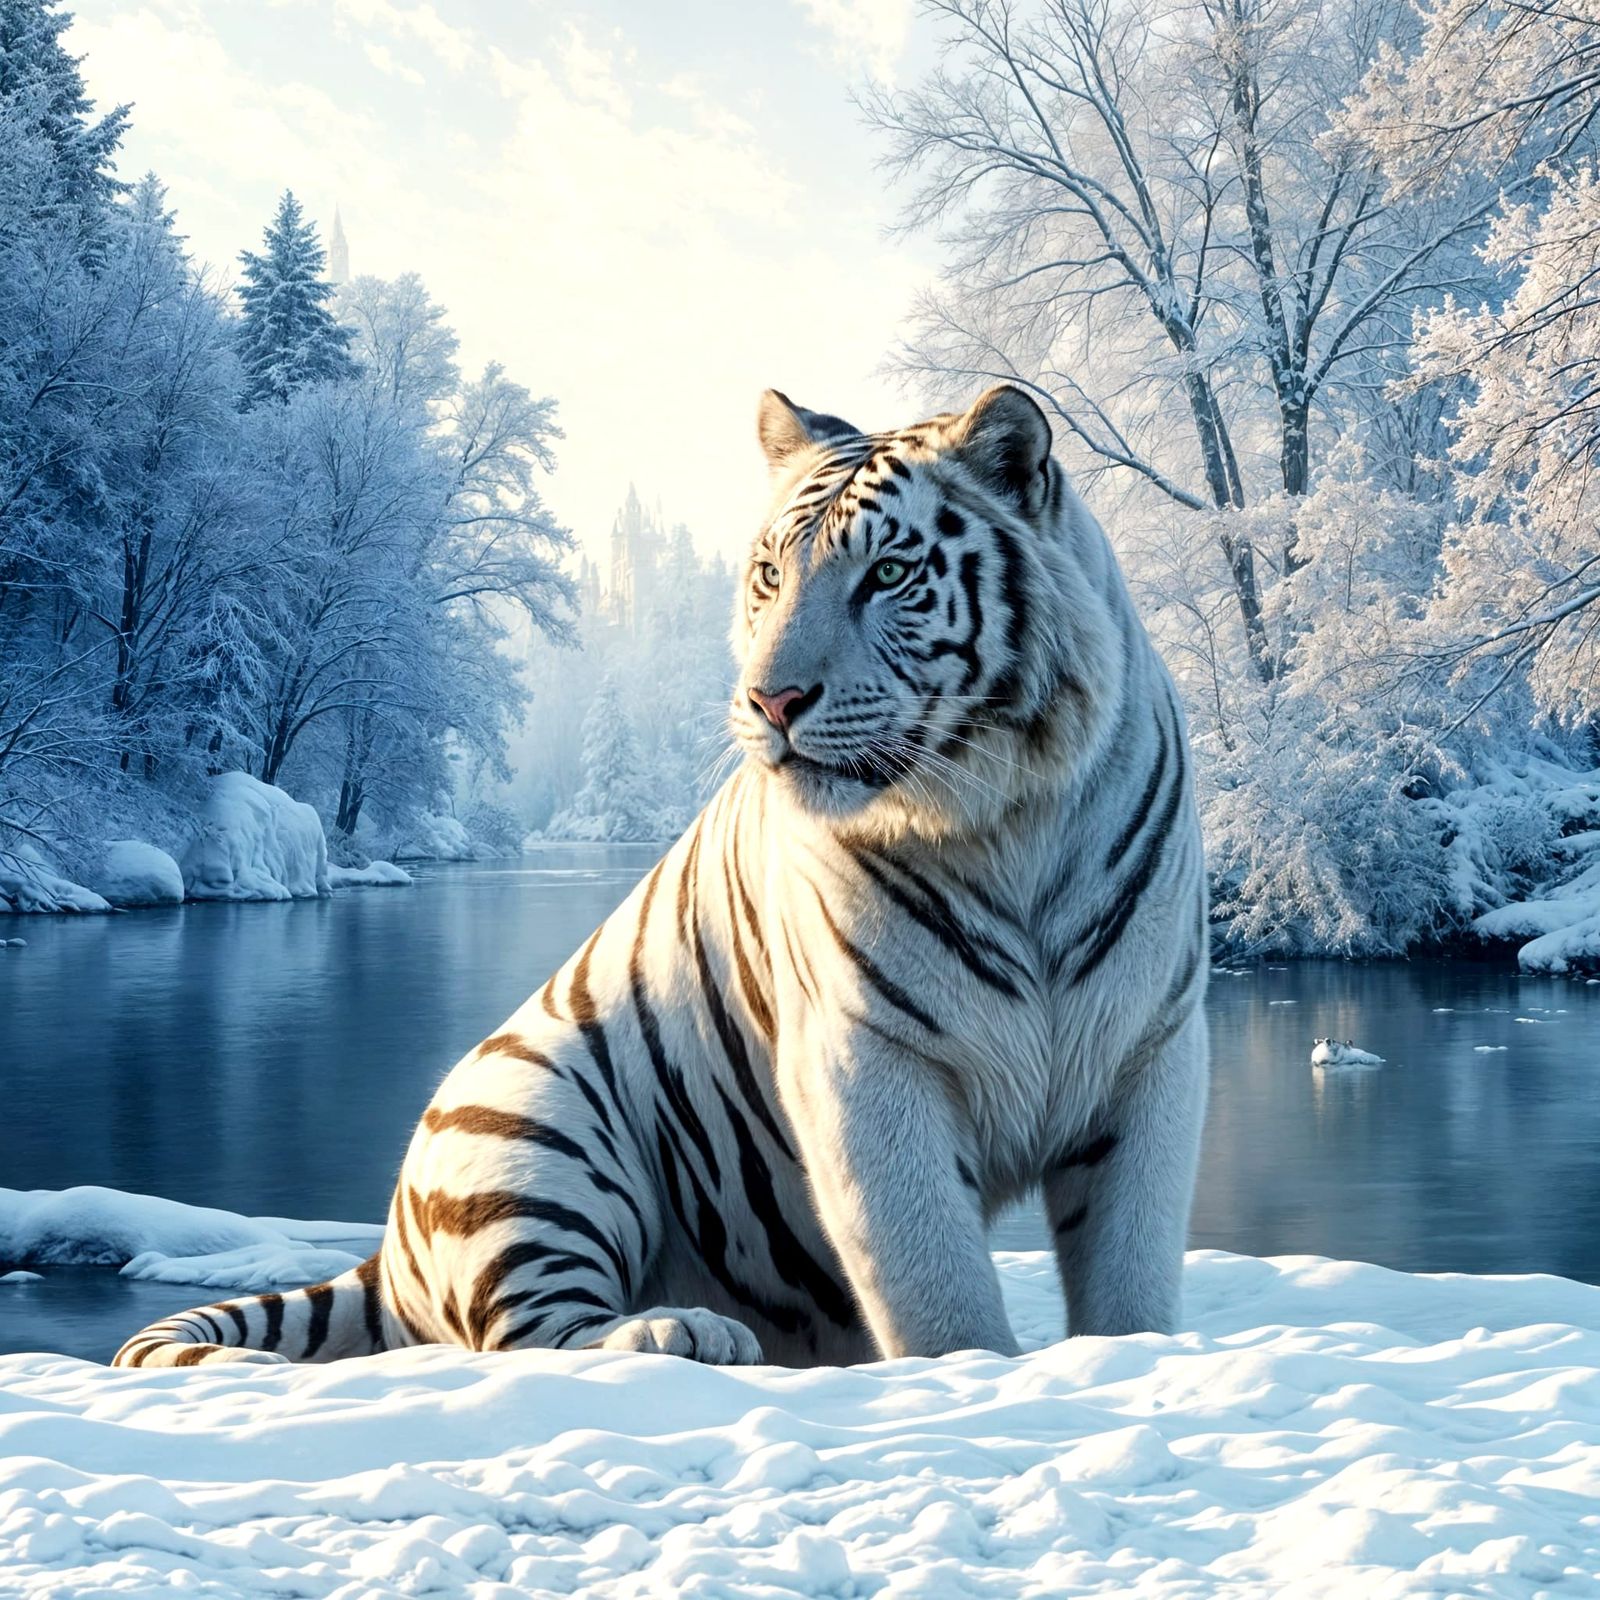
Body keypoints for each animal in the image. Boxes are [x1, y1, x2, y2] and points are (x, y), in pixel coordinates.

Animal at [113, 384, 1209, 1371]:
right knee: (532, 1331)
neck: (1007, 823)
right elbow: (931, 1273)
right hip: (536, 1125)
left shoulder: (1149, 1049)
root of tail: (391, 1246)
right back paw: (679, 1330)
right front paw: (968, 1368)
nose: (771, 699)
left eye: (891, 572)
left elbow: (1129, 1257)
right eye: (768, 574)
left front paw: (1129, 1353)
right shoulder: (864, 1055)